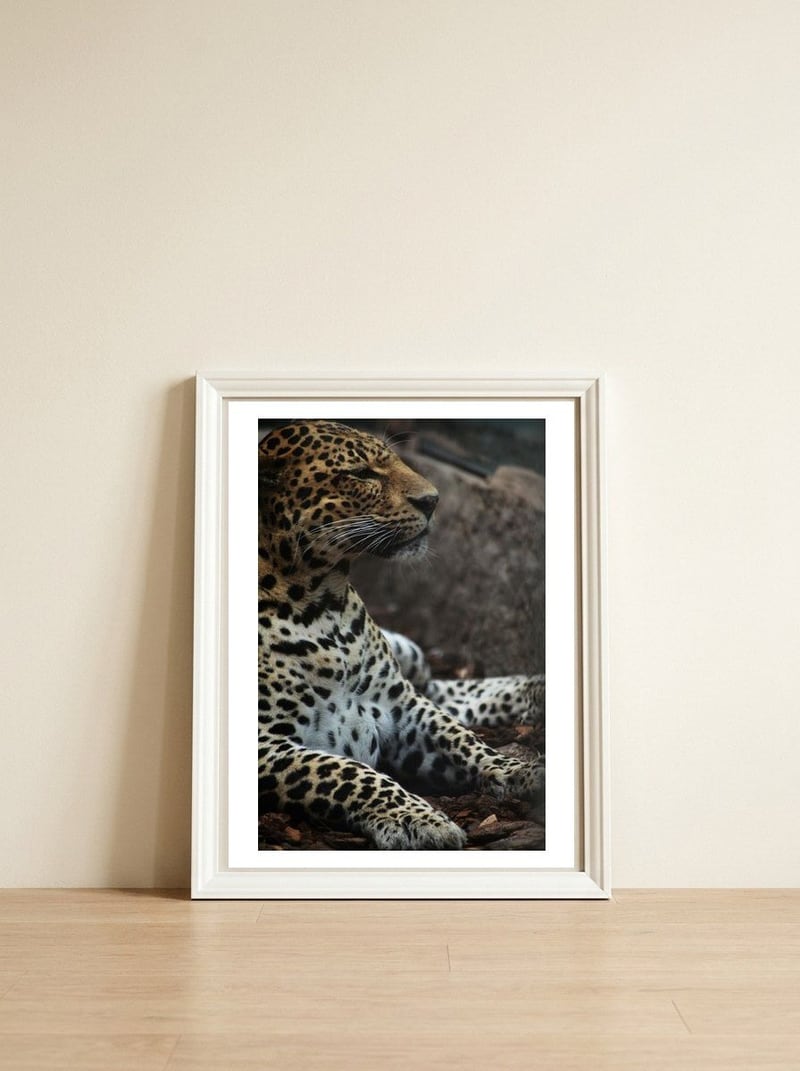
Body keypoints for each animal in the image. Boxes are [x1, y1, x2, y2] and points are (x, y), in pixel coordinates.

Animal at [258, 419, 545, 850]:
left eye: (393, 460)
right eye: (361, 473)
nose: (433, 500)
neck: (324, 605)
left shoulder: (400, 705)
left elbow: (461, 737)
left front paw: (522, 771)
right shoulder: (265, 745)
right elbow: (348, 772)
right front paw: (418, 819)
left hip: (410, 657)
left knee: (439, 689)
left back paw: (536, 690)